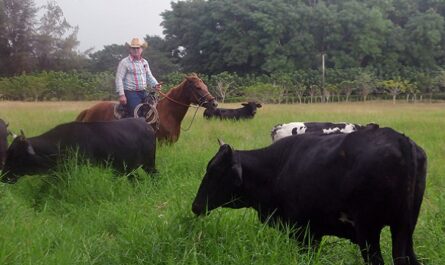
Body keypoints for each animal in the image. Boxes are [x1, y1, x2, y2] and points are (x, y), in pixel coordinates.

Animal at [193, 125, 424, 264]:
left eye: (214, 172)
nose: (195, 206)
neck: (276, 168)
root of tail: (401, 140)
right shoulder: (315, 232)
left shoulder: (304, 232)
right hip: (405, 229)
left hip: (369, 232)